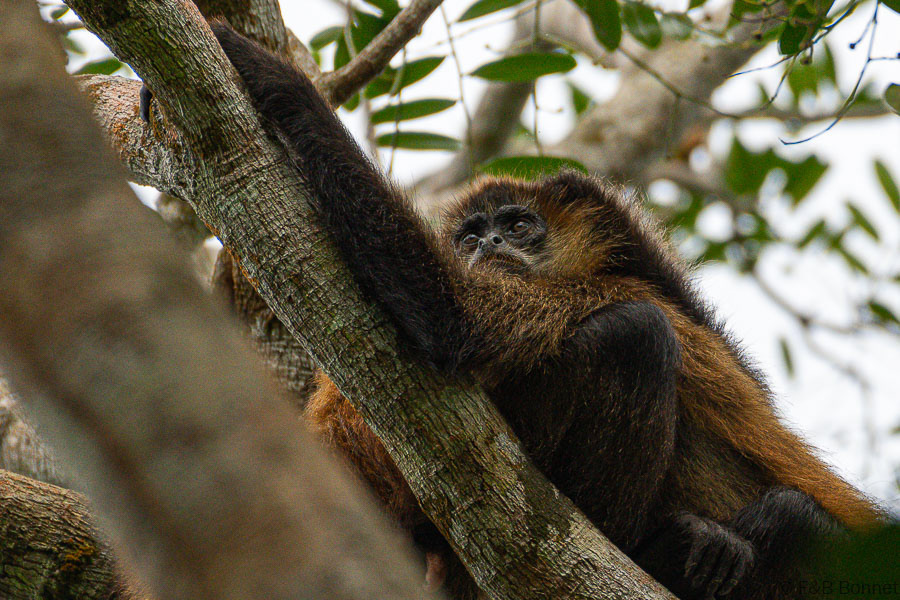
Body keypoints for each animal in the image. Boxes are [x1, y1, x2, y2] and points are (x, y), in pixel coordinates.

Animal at [165, 23, 885, 600]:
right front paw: (277, 79)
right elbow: (455, 318)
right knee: (639, 337)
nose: (488, 245)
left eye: (517, 226)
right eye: (471, 235)